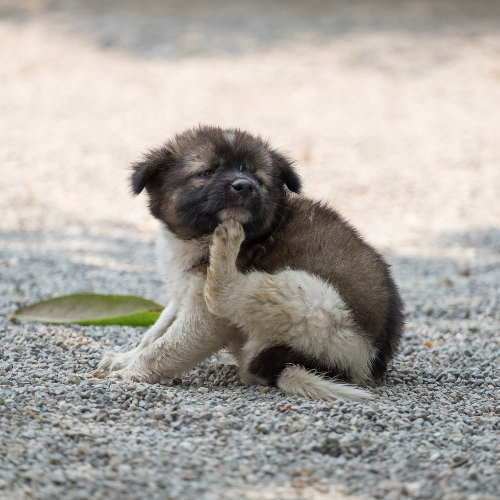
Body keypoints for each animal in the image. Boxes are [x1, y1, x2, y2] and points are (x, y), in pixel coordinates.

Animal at [95, 126, 404, 402]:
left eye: (258, 177)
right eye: (207, 172)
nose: (244, 185)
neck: (196, 239)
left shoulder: (207, 318)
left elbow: (164, 347)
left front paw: (129, 373)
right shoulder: (182, 293)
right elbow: (156, 332)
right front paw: (124, 359)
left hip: (312, 300)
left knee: (226, 295)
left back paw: (227, 244)